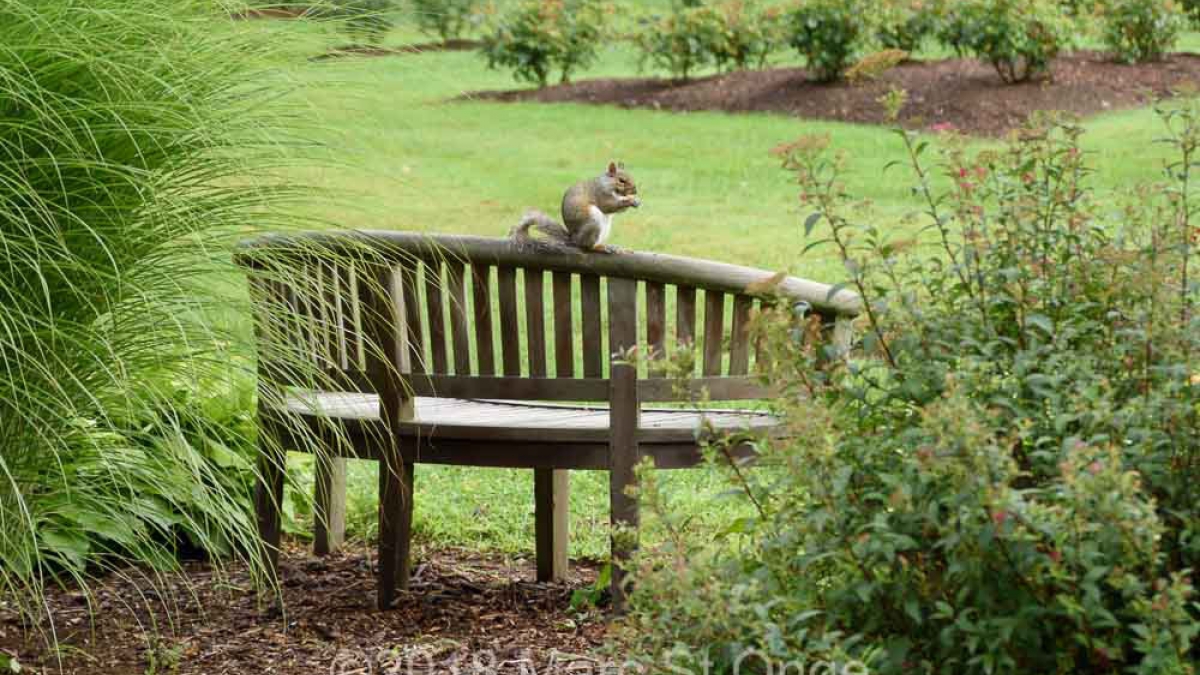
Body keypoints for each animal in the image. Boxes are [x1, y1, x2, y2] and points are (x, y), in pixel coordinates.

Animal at [509, 162, 640, 254]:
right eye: (621, 180)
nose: (635, 191)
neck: (607, 184)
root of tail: (574, 239)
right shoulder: (600, 193)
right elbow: (608, 206)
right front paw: (630, 200)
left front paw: (635, 200)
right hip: (593, 222)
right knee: (587, 246)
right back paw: (599, 247)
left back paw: (610, 246)